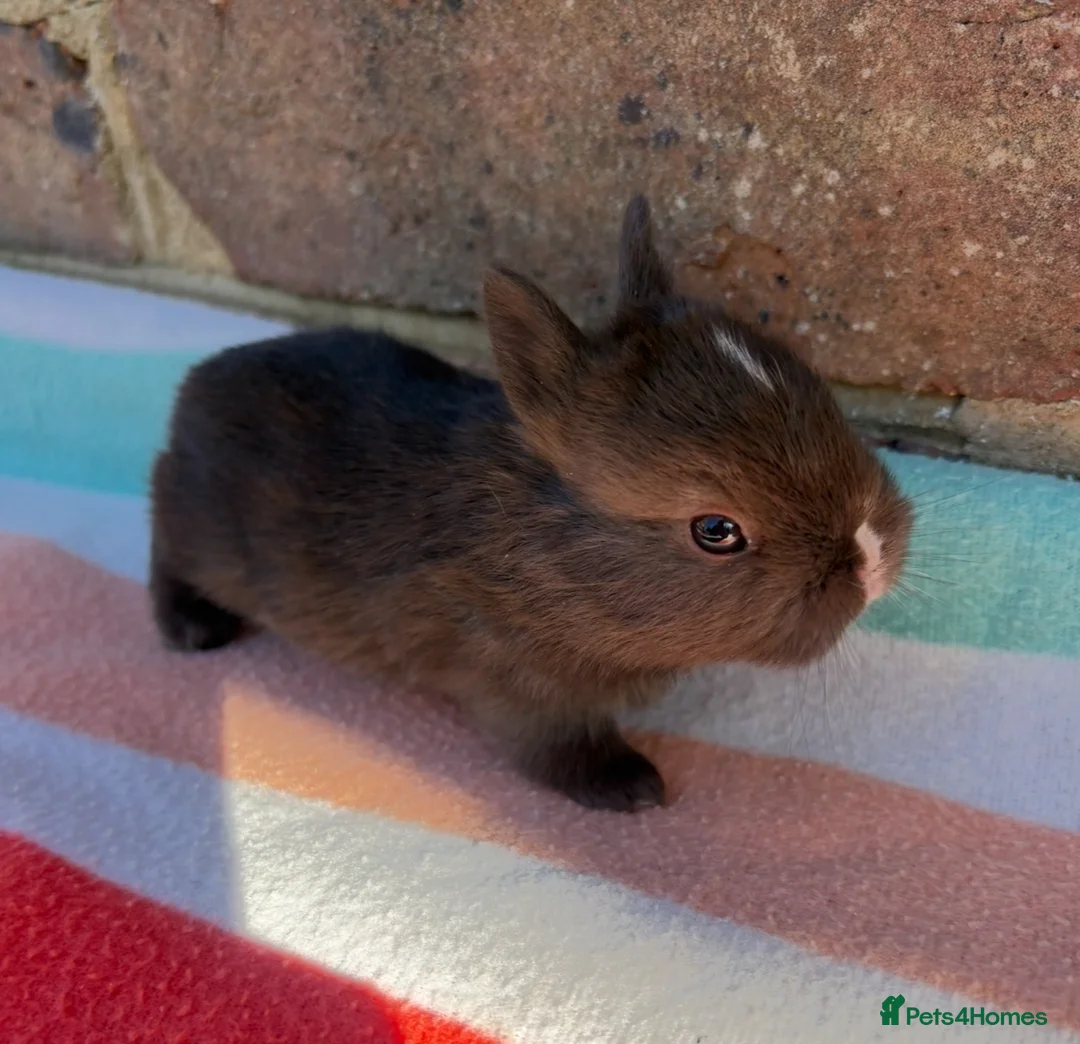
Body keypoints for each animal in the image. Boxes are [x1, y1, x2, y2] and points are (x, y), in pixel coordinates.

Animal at [150, 194, 912, 812]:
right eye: (716, 530)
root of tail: (191, 393)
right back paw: (192, 628)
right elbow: (556, 748)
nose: (872, 556)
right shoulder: (516, 689)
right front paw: (630, 788)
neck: (539, 550)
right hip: (197, 529)